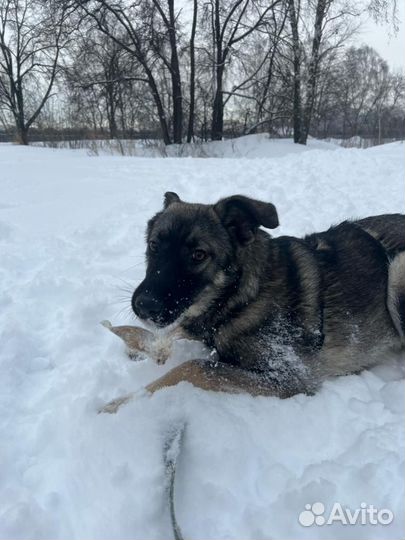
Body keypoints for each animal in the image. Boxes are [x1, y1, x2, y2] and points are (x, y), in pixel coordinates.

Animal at [113, 192, 404, 402]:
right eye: (153, 245)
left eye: (199, 254)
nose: (144, 306)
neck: (243, 297)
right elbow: (176, 333)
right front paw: (142, 344)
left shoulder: (289, 376)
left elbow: (194, 366)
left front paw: (122, 404)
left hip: (397, 270)